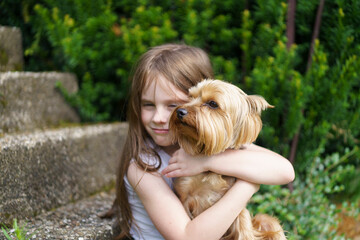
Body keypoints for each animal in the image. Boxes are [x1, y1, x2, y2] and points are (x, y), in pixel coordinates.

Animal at [169, 79, 286, 239]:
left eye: (213, 104)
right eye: (190, 97)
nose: (180, 111)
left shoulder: (236, 208)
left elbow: (243, 229)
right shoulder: (185, 197)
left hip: (266, 221)